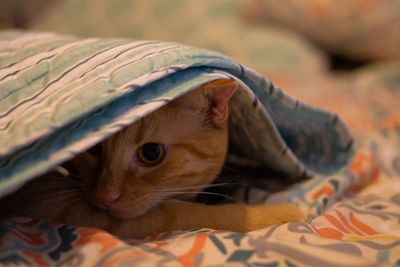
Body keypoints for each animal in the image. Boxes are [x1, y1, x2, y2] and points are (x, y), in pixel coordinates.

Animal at [0, 79, 306, 239]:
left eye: (151, 153)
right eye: (94, 146)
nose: (105, 197)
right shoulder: (50, 200)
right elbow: (193, 213)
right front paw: (280, 212)